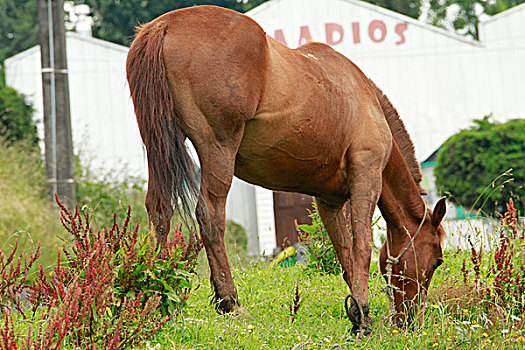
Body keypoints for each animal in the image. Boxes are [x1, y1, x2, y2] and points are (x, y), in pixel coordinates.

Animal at [125, 4, 444, 334]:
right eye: (437, 260)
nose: (410, 320)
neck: (364, 99)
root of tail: (163, 26)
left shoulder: (329, 202)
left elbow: (344, 253)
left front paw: (356, 310)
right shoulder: (366, 179)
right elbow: (362, 247)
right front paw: (363, 317)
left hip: (159, 147)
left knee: (160, 210)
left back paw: (155, 294)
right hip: (217, 148)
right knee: (210, 216)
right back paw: (230, 302)